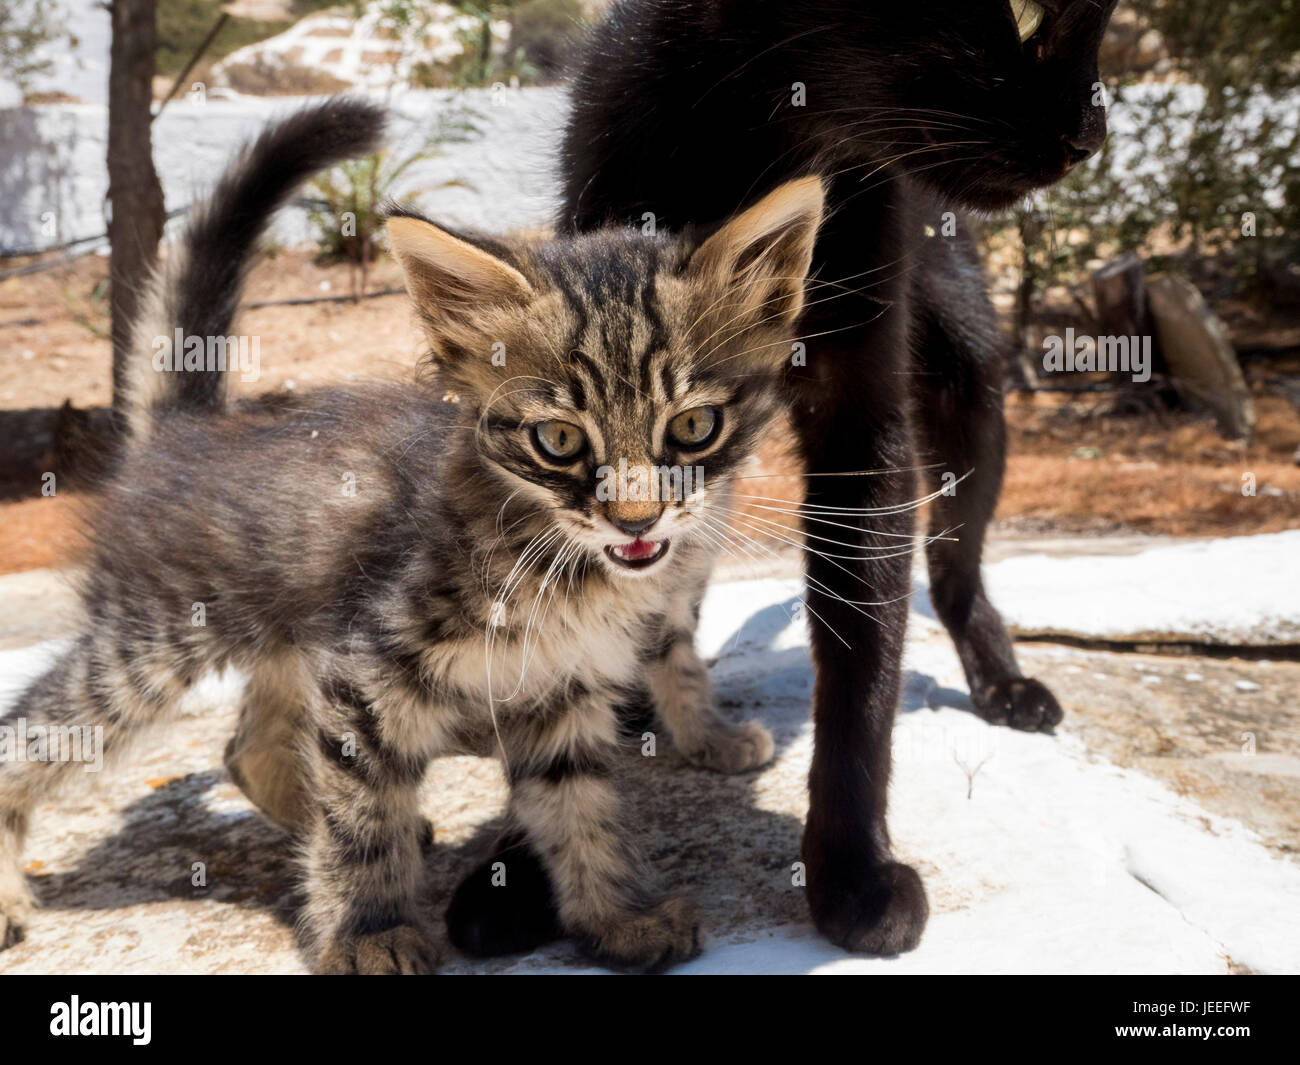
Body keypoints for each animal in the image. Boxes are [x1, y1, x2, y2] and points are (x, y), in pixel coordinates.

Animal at [0, 100, 821, 972]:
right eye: (559, 440)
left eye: (694, 427)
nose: (636, 521)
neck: (560, 562)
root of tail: (185, 430)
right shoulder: (365, 674)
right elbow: (362, 820)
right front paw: (368, 929)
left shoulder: (556, 689)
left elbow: (581, 808)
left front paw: (617, 914)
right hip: (146, 646)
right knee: (31, 736)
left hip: (287, 640)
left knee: (248, 747)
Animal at [447, 0, 1118, 962]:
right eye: (1026, 14)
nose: (1092, 139)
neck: (760, 129)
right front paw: (520, 863)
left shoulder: (861, 422)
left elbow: (862, 650)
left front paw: (852, 870)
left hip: (968, 370)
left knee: (956, 568)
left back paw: (1002, 679)